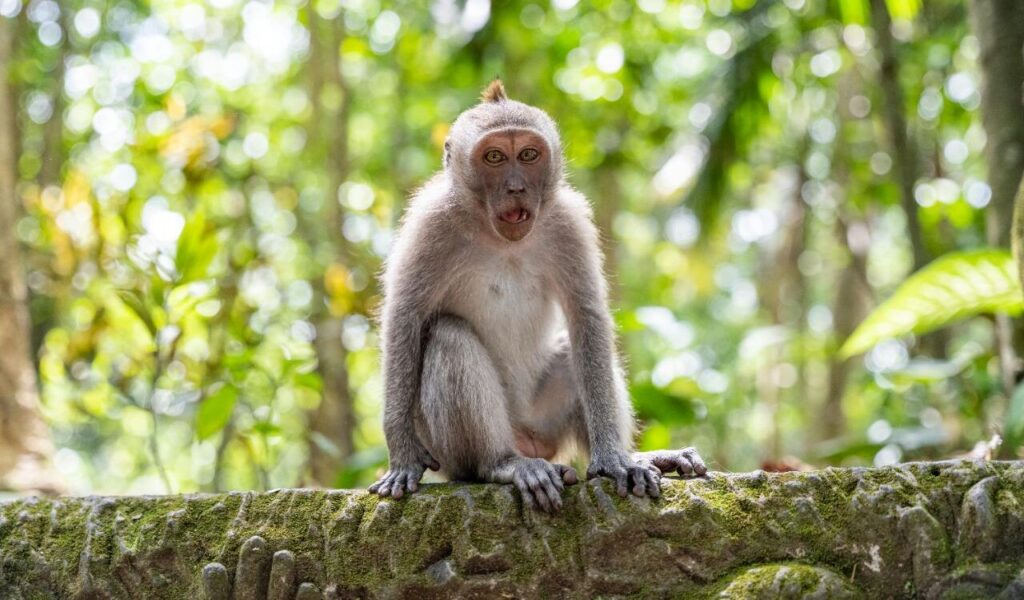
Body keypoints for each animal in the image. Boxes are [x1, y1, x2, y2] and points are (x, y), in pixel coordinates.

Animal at [369, 80, 706, 512]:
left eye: (528, 155)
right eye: (494, 157)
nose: (516, 187)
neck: (499, 237)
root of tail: (528, 440)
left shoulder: (567, 221)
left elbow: (586, 317)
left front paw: (614, 458)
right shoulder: (431, 223)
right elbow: (405, 318)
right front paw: (402, 456)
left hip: (545, 420)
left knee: (572, 348)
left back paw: (635, 457)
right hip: (450, 450)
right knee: (448, 335)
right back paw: (503, 464)